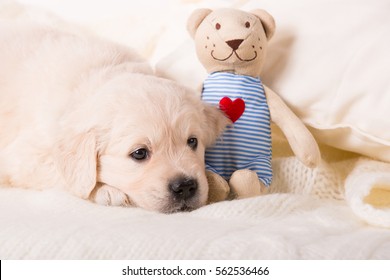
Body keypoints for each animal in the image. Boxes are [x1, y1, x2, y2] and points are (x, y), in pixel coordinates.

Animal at [0, 23, 229, 213]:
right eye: (139, 153)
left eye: (192, 142)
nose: (185, 186)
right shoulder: (23, 157)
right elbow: (67, 177)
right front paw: (105, 191)